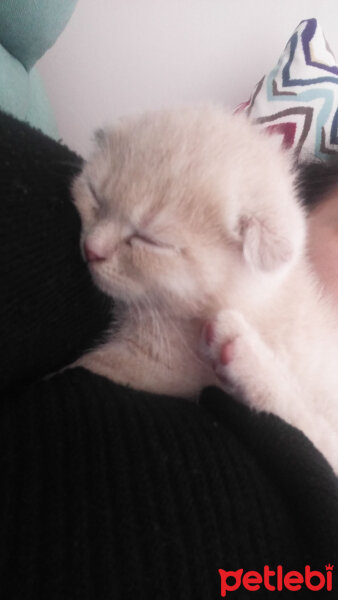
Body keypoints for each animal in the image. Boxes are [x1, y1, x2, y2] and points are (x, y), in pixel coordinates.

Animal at [72, 106, 338, 474]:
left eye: (151, 241)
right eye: (95, 196)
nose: (91, 250)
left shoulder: (157, 368)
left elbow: (88, 366)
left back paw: (243, 357)